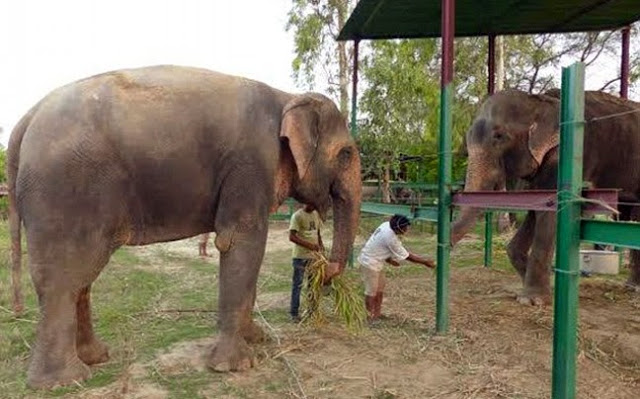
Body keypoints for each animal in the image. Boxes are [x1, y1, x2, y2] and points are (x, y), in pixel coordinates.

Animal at [6, 65, 360, 388]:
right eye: (345, 154)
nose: (327, 273)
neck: (287, 96)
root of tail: (26, 119)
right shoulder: (250, 165)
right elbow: (241, 243)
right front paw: (236, 366)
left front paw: (256, 338)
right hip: (63, 194)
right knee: (63, 280)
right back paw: (64, 382)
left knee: (80, 278)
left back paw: (94, 358)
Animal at [452, 88, 640, 306]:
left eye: (499, 136)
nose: (434, 259)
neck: (540, 100)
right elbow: (536, 210)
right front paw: (542, 289)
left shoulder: (562, 157)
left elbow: (550, 213)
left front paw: (532, 300)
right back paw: (632, 286)